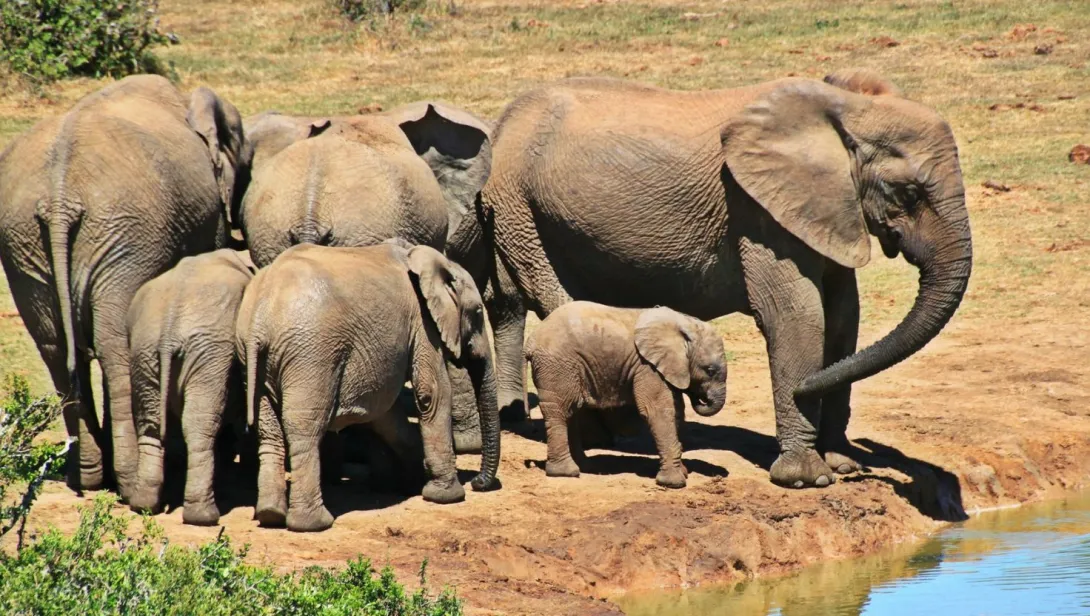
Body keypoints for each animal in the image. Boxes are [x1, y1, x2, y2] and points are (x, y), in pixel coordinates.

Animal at [0, 74, 250, 494]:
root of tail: (59, 198)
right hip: (124, 237)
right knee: (114, 347)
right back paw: (129, 482)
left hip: (26, 245)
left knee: (56, 348)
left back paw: (87, 476)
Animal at [126, 247, 253, 521]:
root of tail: (169, 331)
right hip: (209, 353)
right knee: (199, 425)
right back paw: (204, 516)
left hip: (143, 351)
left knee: (151, 424)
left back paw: (143, 506)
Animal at [525, 300, 728, 488]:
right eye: (709, 371)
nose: (701, 398)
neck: (685, 324)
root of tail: (531, 341)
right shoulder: (647, 367)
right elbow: (658, 411)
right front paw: (674, 483)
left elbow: (676, 411)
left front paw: (683, 472)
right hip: (556, 366)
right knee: (560, 411)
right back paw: (566, 472)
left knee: (572, 411)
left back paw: (584, 466)